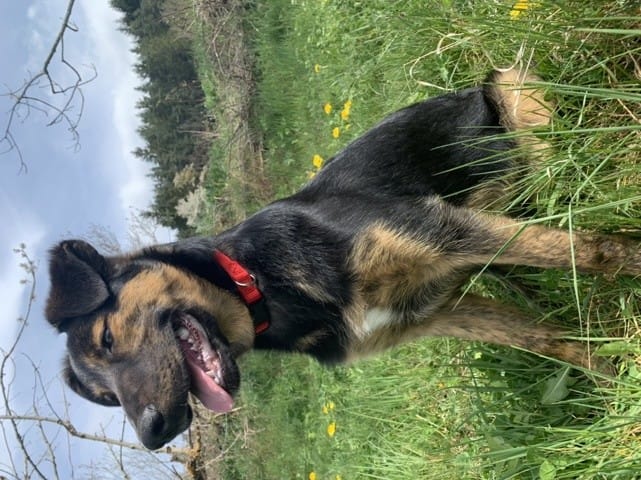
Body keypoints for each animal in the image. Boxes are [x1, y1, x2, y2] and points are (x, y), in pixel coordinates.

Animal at [45, 68, 641, 450]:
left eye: (107, 338)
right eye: (103, 394)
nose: (152, 435)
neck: (264, 283)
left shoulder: (442, 232)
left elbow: (596, 251)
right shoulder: (444, 314)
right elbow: (553, 341)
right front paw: (614, 382)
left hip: (518, 104)